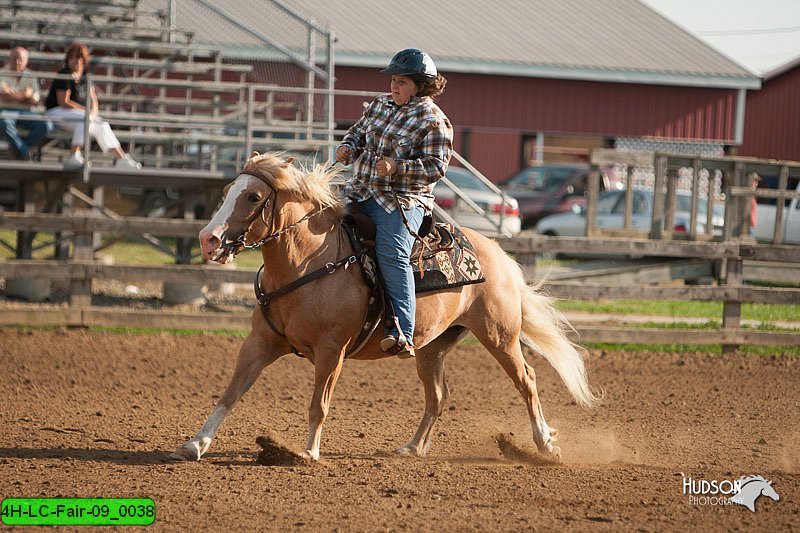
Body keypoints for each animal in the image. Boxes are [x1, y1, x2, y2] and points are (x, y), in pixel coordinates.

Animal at [172, 152, 596, 460]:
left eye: (253, 197)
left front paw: (308, 452)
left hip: (500, 336)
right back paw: (412, 447)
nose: (208, 239)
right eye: (229, 190)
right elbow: (230, 393)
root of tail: (501, 257)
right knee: (438, 395)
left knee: (527, 380)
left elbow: (318, 404)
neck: (309, 263)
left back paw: (545, 444)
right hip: (431, 348)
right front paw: (194, 444)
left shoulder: (332, 351)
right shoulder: (259, 344)